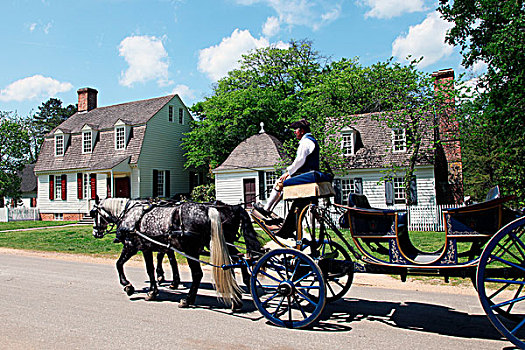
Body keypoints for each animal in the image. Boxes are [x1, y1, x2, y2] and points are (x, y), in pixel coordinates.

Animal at [91, 198, 262, 308]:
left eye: (94, 214)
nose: (95, 233)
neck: (129, 214)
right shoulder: (150, 247)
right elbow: (152, 268)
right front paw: (155, 289)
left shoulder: (132, 245)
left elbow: (119, 264)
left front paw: (128, 286)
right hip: (223, 244)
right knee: (237, 261)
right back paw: (237, 297)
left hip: (192, 249)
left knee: (198, 274)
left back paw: (188, 300)